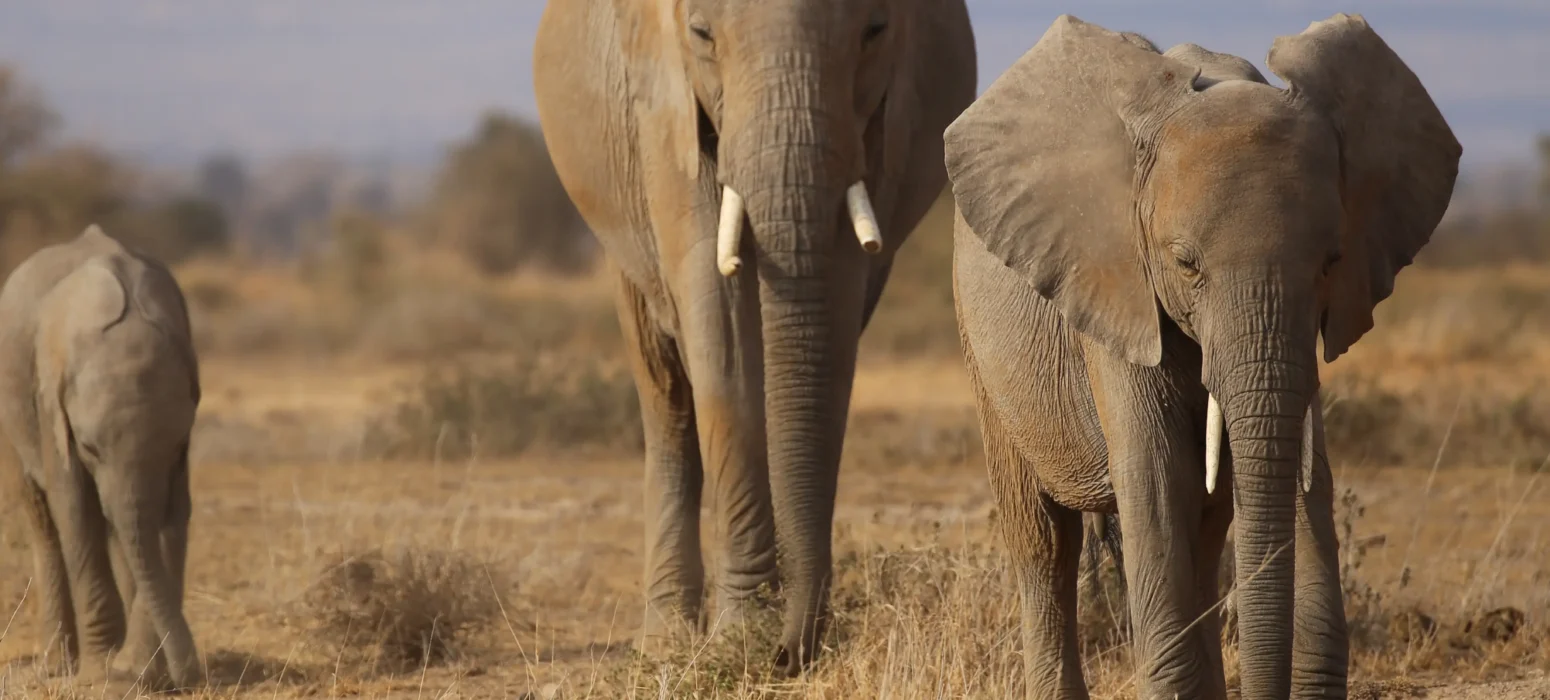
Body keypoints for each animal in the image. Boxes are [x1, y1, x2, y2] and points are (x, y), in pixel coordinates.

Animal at [0, 225, 203, 690]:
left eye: (175, 447)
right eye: (90, 448)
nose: (192, 676)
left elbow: (172, 516)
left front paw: (136, 671)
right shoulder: (50, 404)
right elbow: (75, 510)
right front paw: (102, 674)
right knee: (45, 521)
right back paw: (56, 665)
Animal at [532, 0, 977, 675]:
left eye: (875, 31)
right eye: (701, 34)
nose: (788, 657)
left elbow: (834, 315)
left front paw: (766, 633)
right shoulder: (666, 113)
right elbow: (719, 327)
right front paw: (741, 639)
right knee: (664, 386)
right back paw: (667, 642)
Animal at [945, 14, 1459, 699]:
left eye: (1331, 262)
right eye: (1185, 263)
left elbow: (1297, 470)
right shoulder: (1117, 281)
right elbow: (1158, 482)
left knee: (1207, 530)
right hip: (980, 344)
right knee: (1045, 540)